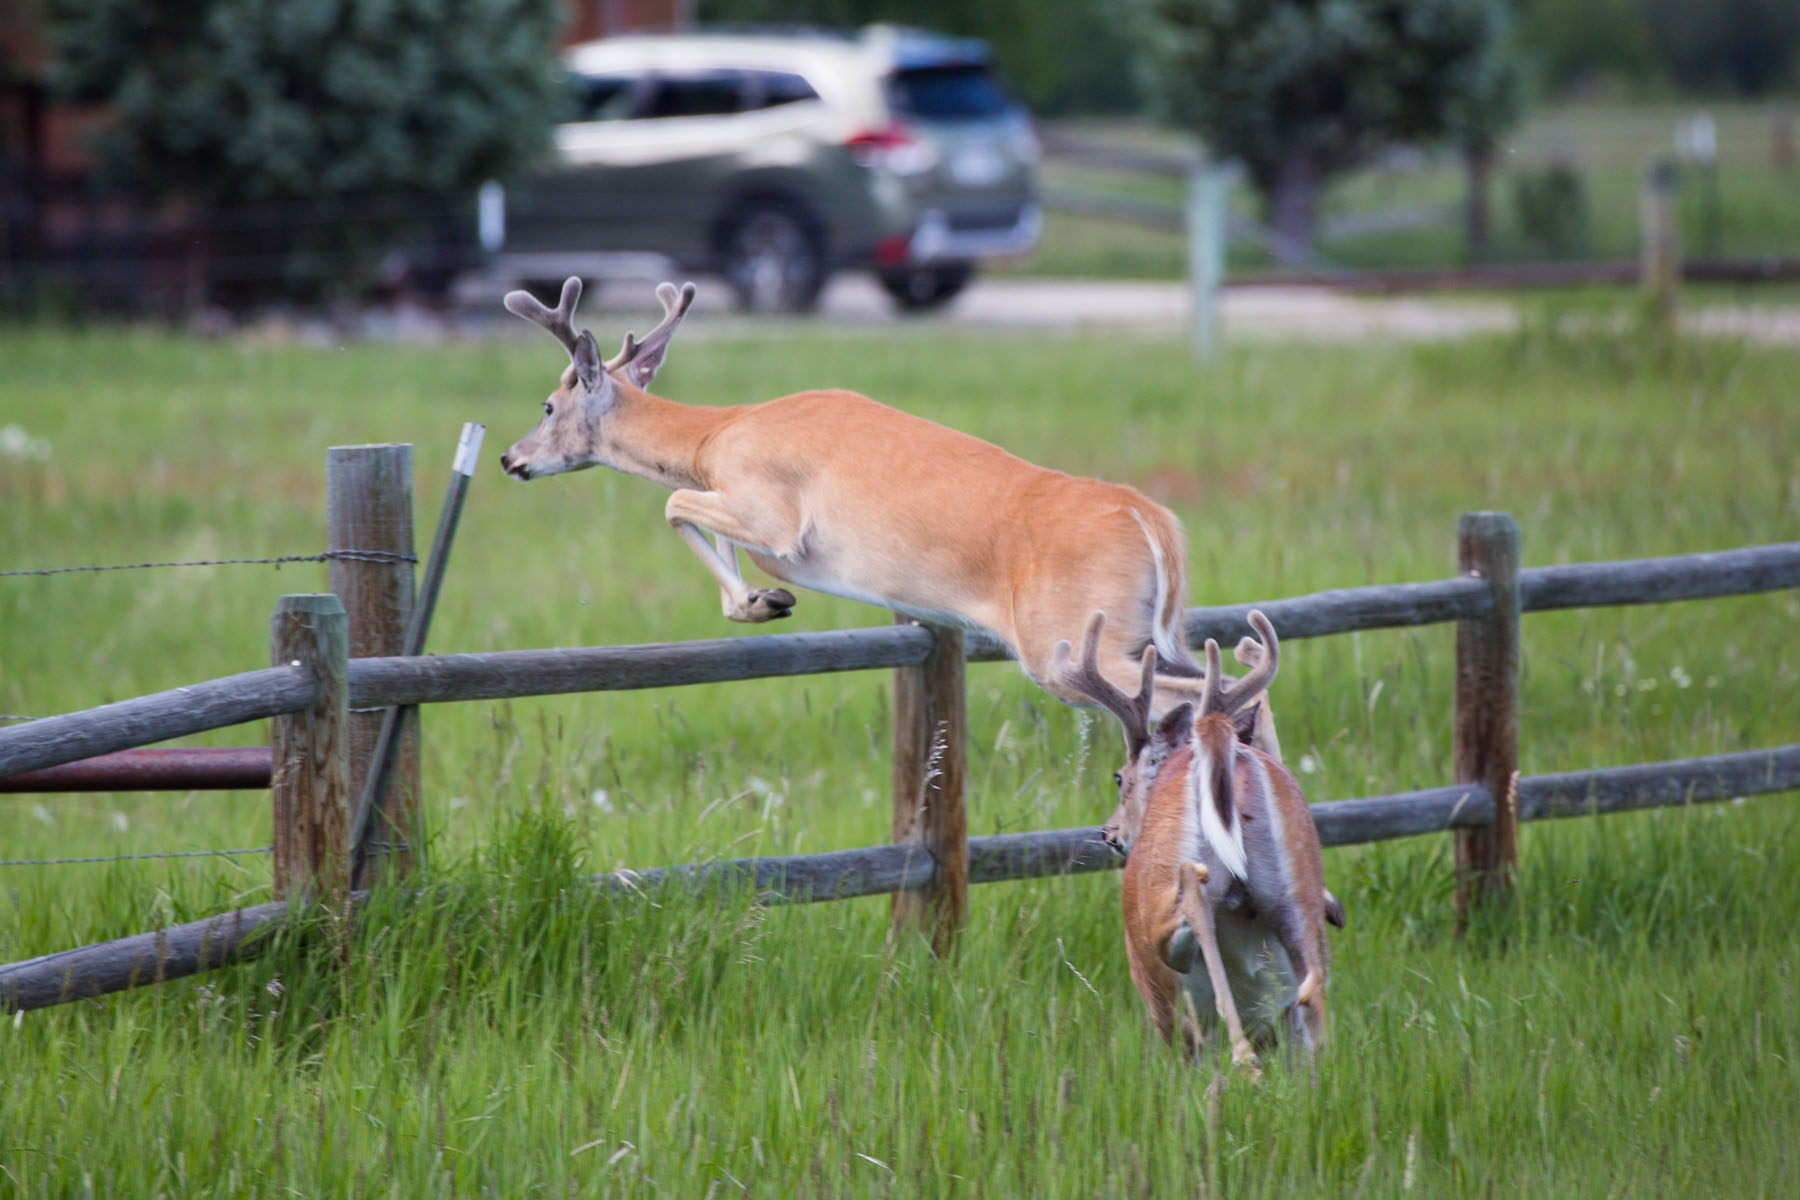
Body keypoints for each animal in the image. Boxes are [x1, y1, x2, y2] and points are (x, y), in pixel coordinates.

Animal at [493, 278, 1281, 752]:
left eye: (548, 406)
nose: (508, 458)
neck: (715, 436)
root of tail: (1152, 521)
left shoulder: (773, 509)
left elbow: (675, 502)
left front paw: (759, 601)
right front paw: (763, 598)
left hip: (1071, 642)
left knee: (1201, 696)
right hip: (1158, 631)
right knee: (1242, 688)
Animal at [1044, 611, 1339, 1072]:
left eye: (1119, 778)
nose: (1109, 833)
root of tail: (1216, 738)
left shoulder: (1156, 1000)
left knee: (1194, 904)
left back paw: (1242, 1055)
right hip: (1297, 889)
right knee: (1314, 1014)